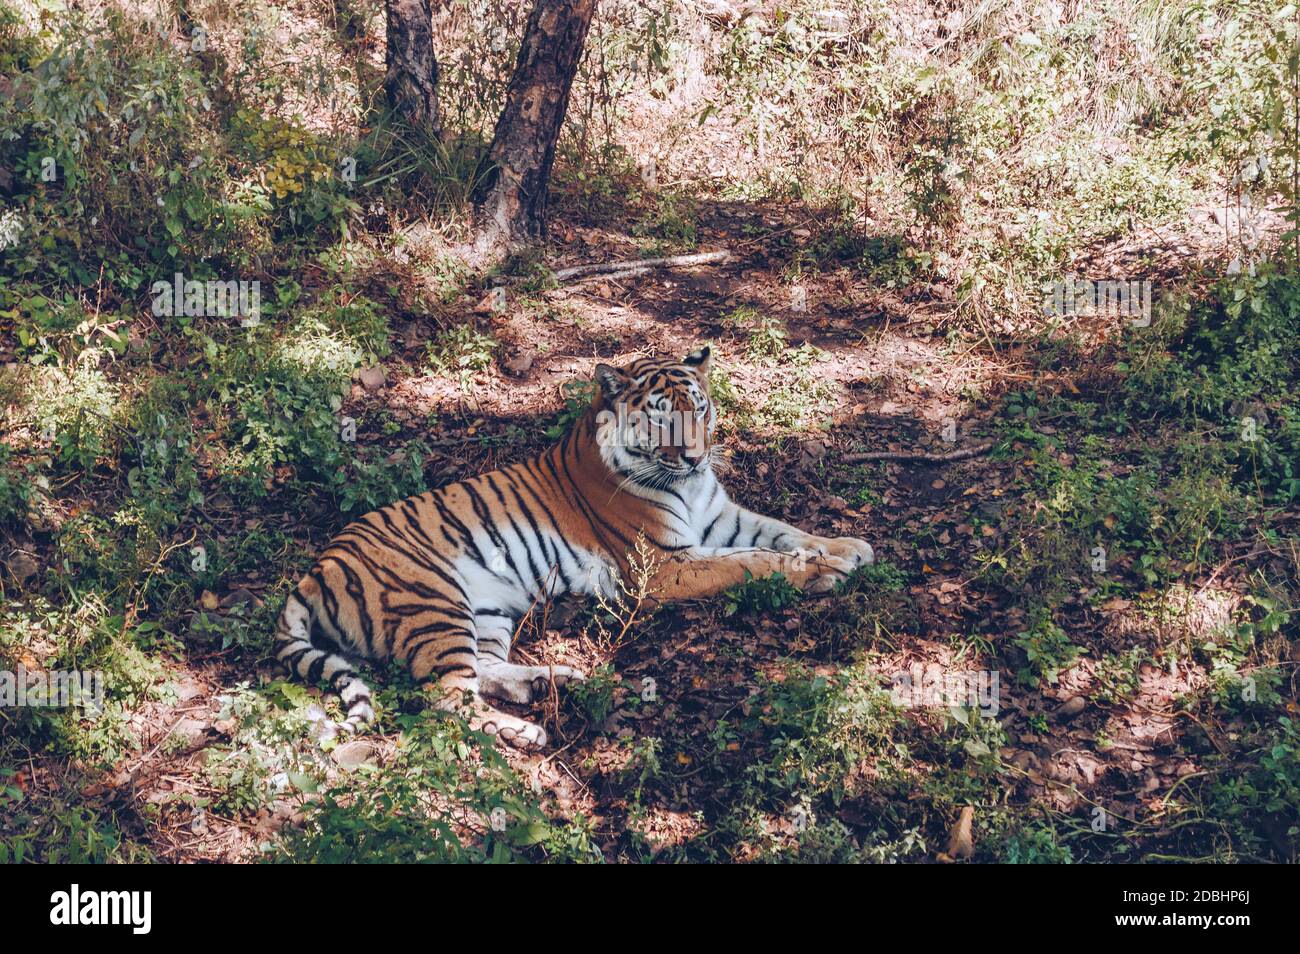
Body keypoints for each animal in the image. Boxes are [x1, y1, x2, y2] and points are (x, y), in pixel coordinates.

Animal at [273, 346, 874, 749]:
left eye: (700, 408)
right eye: (661, 416)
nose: (695, 458)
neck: (688, 486)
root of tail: (315, 569)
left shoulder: (719, 517)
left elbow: (782, 531)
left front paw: (849, 547)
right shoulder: (664, 568)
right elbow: (752, 562)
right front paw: (823, 570)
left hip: (485, 611)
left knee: (482, 669)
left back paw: (549, 679)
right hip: (432, 601)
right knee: (447, 700)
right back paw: (525, 731)